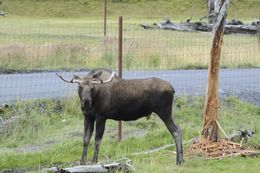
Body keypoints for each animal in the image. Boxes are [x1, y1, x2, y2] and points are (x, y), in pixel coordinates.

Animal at [56, 68, 184, 165]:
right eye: (80, 86)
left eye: (92, 87)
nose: (86, 102)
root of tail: (173, 89)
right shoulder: (88, 117)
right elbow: (85, 140)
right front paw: (82, 161)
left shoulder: (101, 116)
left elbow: (97, 140)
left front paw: (94, 161)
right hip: (166, 113)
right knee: (179, 128)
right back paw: (181, 159)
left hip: (164, 112)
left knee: (175, 131)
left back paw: (179, 160)